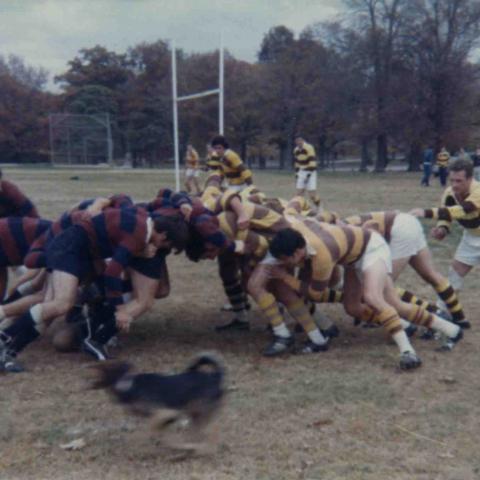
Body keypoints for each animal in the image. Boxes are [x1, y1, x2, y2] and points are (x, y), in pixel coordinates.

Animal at [93, 350, 226, 452]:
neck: (128, 385)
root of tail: (215, 376)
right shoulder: (164, 419)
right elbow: (162, 434)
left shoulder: (165, 413)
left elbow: (150, 430)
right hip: (195, 415)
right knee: (199, 431)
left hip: (202, 412)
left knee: (214, 430)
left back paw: (204, 449)